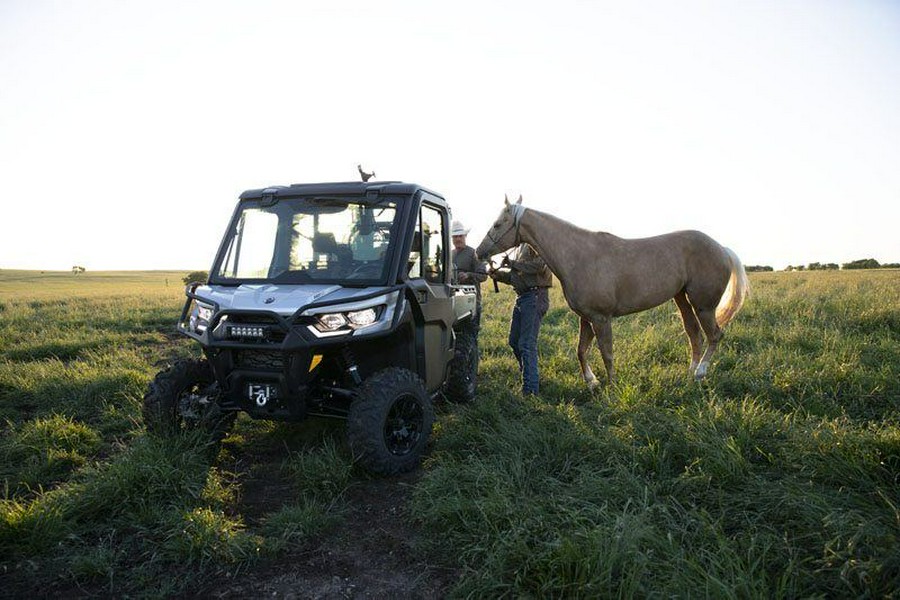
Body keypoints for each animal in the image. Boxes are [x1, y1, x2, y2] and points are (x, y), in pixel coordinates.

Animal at [474, 195, 748, 386]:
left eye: (498, 224)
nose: (479, 252)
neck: (579, 255)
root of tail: (722, 249)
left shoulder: (601, 318)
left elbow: (607, 353)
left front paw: (612, 386)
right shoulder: (586, 318)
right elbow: (581, 351)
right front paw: (592, 382)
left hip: (704, 306)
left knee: (714, 335)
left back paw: (700, 373)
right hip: (682, 300)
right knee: (695, 335)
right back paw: (690, 374)